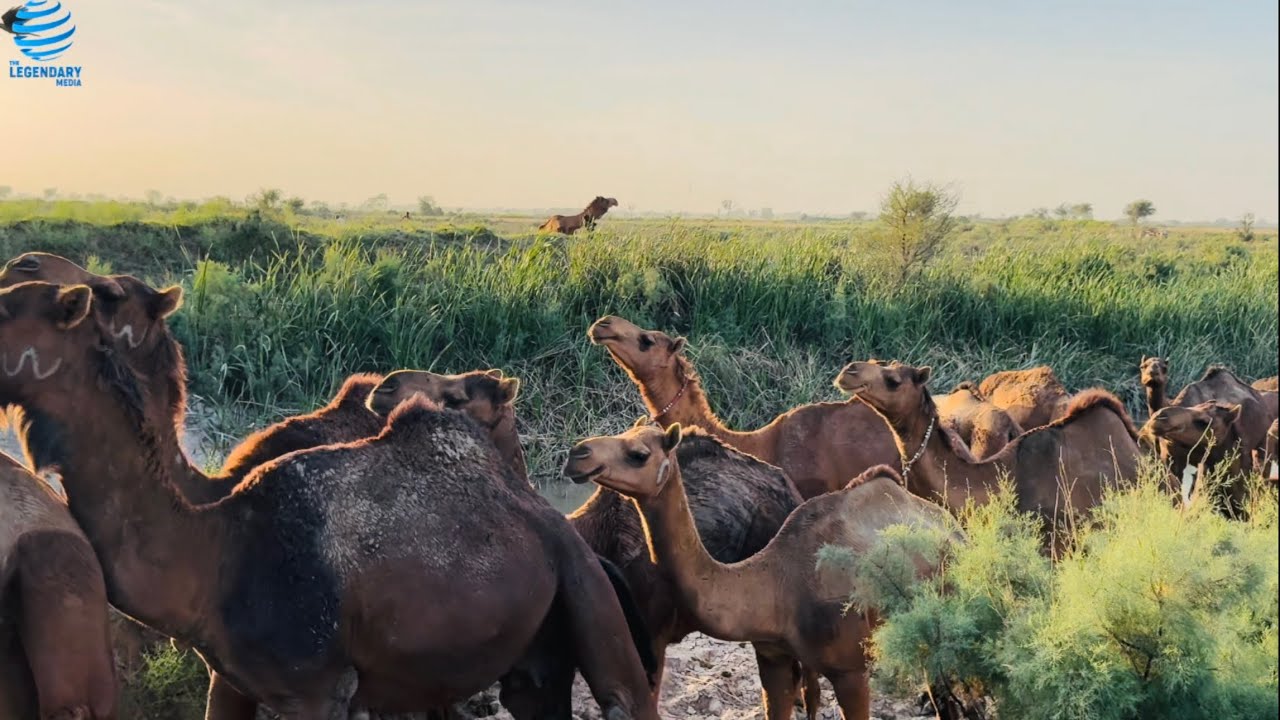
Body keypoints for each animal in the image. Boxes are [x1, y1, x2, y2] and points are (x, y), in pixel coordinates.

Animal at [564, 422, 955, 720]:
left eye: (638, 454)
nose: (577, 454)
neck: (776, 584)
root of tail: (949, 525)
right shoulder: (772, 656)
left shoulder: (850, 669)